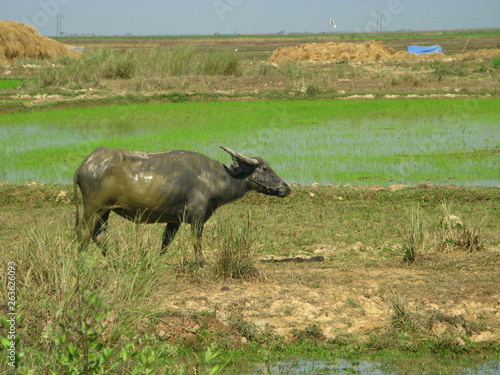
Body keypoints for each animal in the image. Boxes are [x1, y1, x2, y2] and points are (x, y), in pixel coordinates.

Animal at [73, 145, 292, 266]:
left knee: (99, 234)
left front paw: (159, 261)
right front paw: (202, 262)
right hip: (94, 208)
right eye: (265, 168)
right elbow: (197, 240)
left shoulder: (175, 221)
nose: (286, 188)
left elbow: (165, 242)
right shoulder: (197, 217)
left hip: (105, 211)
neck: (214, 177)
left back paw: (116, 261)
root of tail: (84, 165)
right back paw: (82, 262)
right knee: (84, 232)